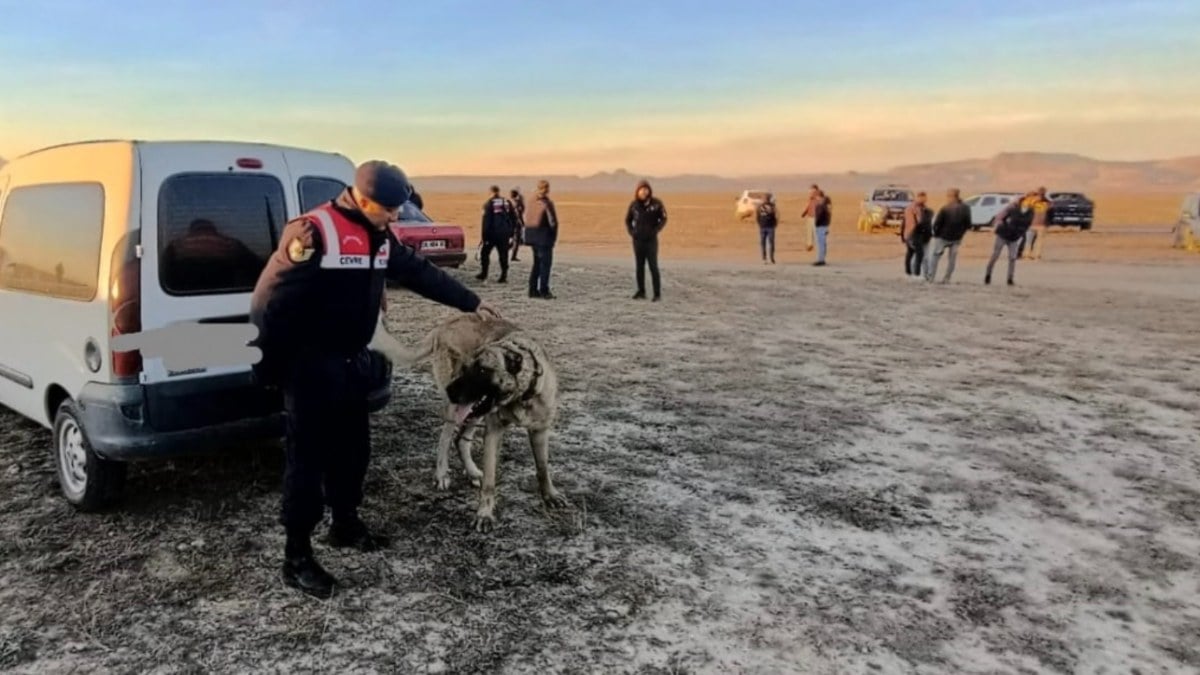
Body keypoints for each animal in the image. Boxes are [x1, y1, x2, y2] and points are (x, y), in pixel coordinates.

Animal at [367, 312, 568, 528]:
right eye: (465, 368)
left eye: (482, 370)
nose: (450, 391)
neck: (520, 396)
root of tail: (442, 326)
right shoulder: (494, 431)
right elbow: (489, 480)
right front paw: (484, 514)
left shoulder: (540, 430)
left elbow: (542, 467)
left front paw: (550, 495)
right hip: (458, 411)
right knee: (445, 438)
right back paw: (442, 474)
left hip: (474, 412)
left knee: (460, 440)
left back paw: (471, 472)